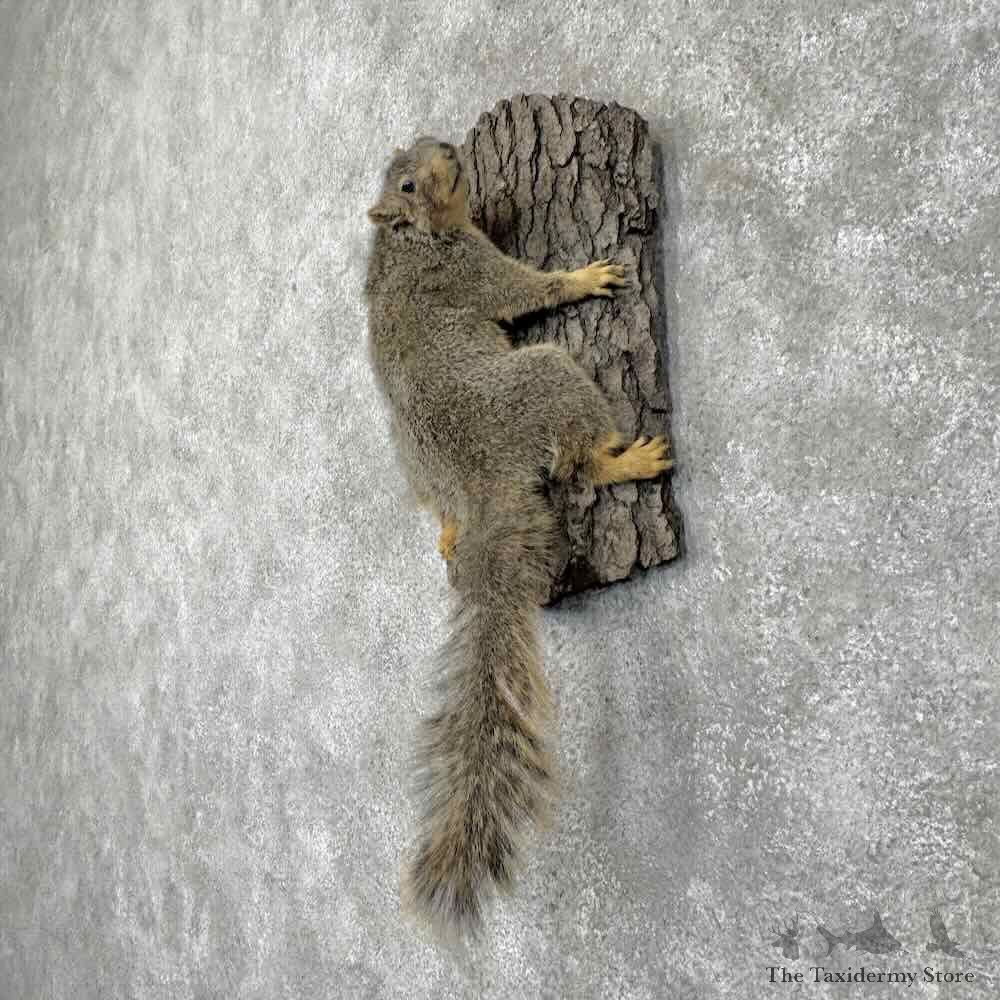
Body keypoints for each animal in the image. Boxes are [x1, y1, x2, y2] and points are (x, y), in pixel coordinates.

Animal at [363, 135, 671, 939]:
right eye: (408, 183)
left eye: (419, 149)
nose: (448, 147)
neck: (406, 241)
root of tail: (482, 488)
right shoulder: (472, 271)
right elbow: (525, 292)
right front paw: (585, 275)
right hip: (545, 378)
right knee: (575, 459)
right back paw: (623, 458)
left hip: (425, 471)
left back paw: (447, 533)